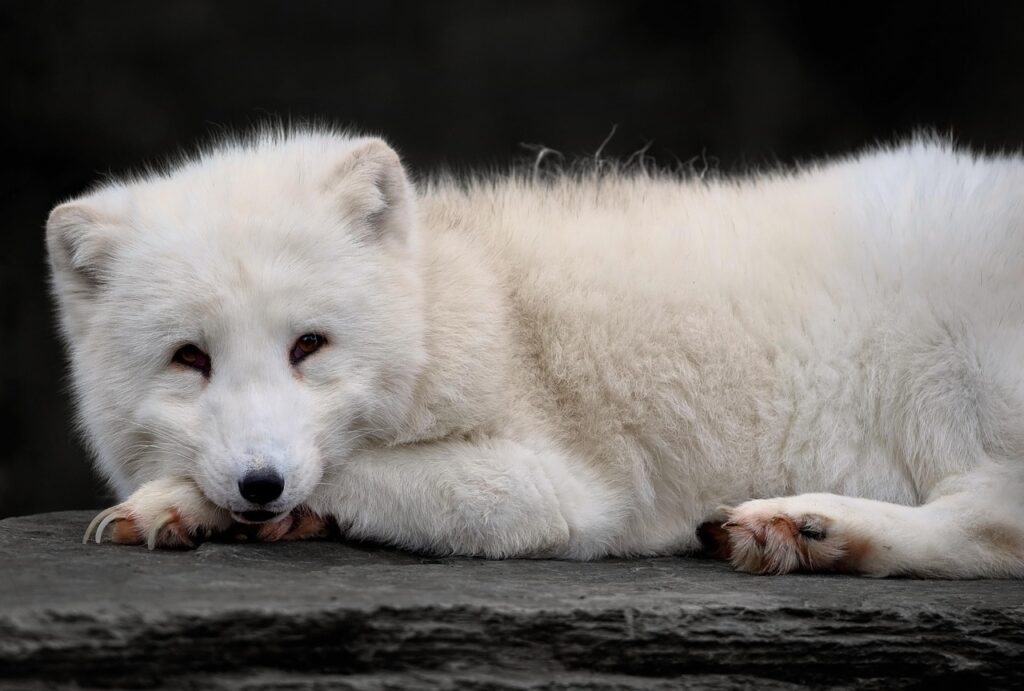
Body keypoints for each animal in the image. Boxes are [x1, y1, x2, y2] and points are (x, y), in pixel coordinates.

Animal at [46, 128, 1024, 577]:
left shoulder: (557, 492)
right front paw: (186, 504)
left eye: (308, 345)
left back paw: (806, 522)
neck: (465, 295)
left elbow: (359, 471)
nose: (260, 482)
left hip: (951, 376)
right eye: (190, 358)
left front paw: (205, 501)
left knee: (995, 519)